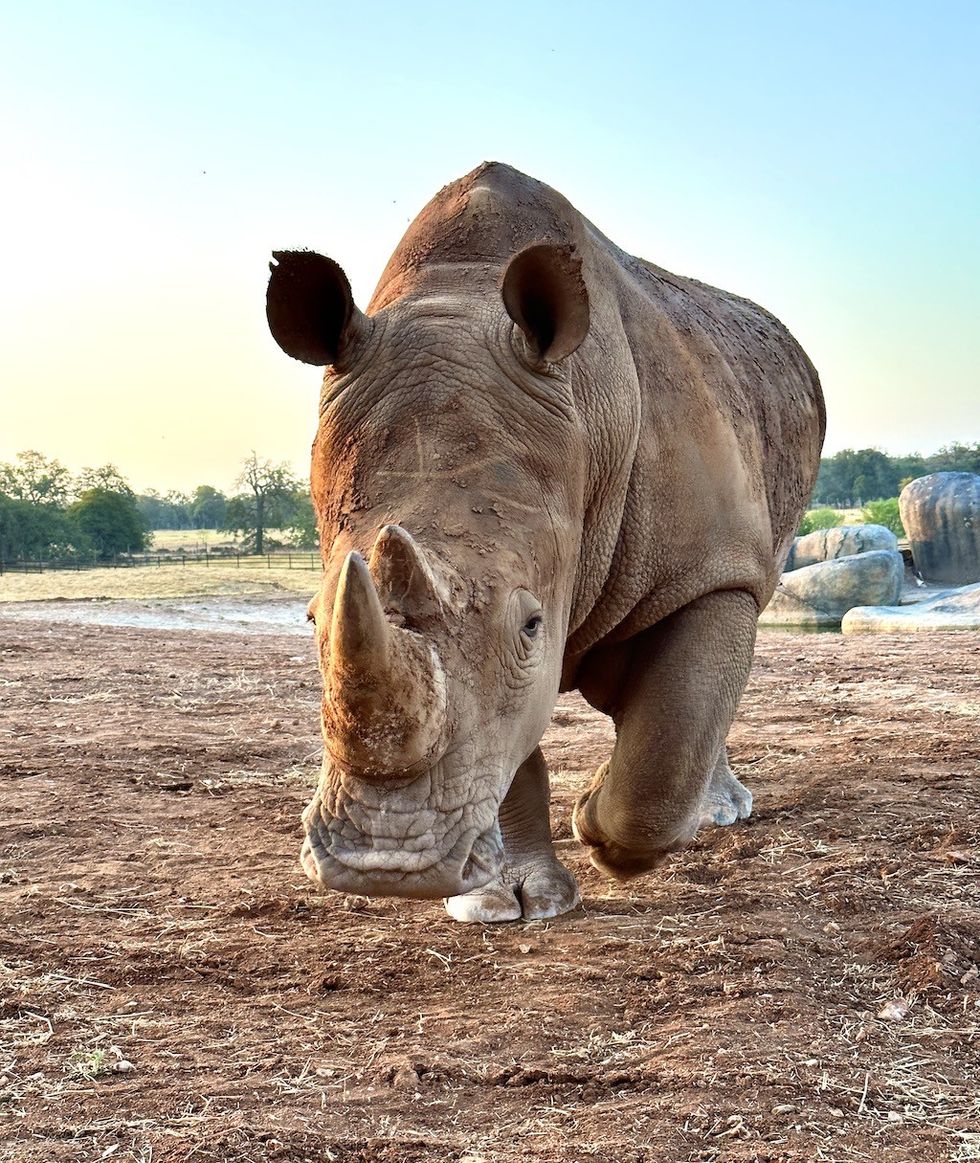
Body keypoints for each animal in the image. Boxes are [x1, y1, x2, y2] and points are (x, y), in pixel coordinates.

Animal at [266, 162, 825, 923]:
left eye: (532, 624)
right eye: (312, 622)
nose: (386, 866)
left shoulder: (708, 565)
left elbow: (669, 736)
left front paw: (599, 830)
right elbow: (503, 733)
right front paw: (505, 899)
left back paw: (718, 814)